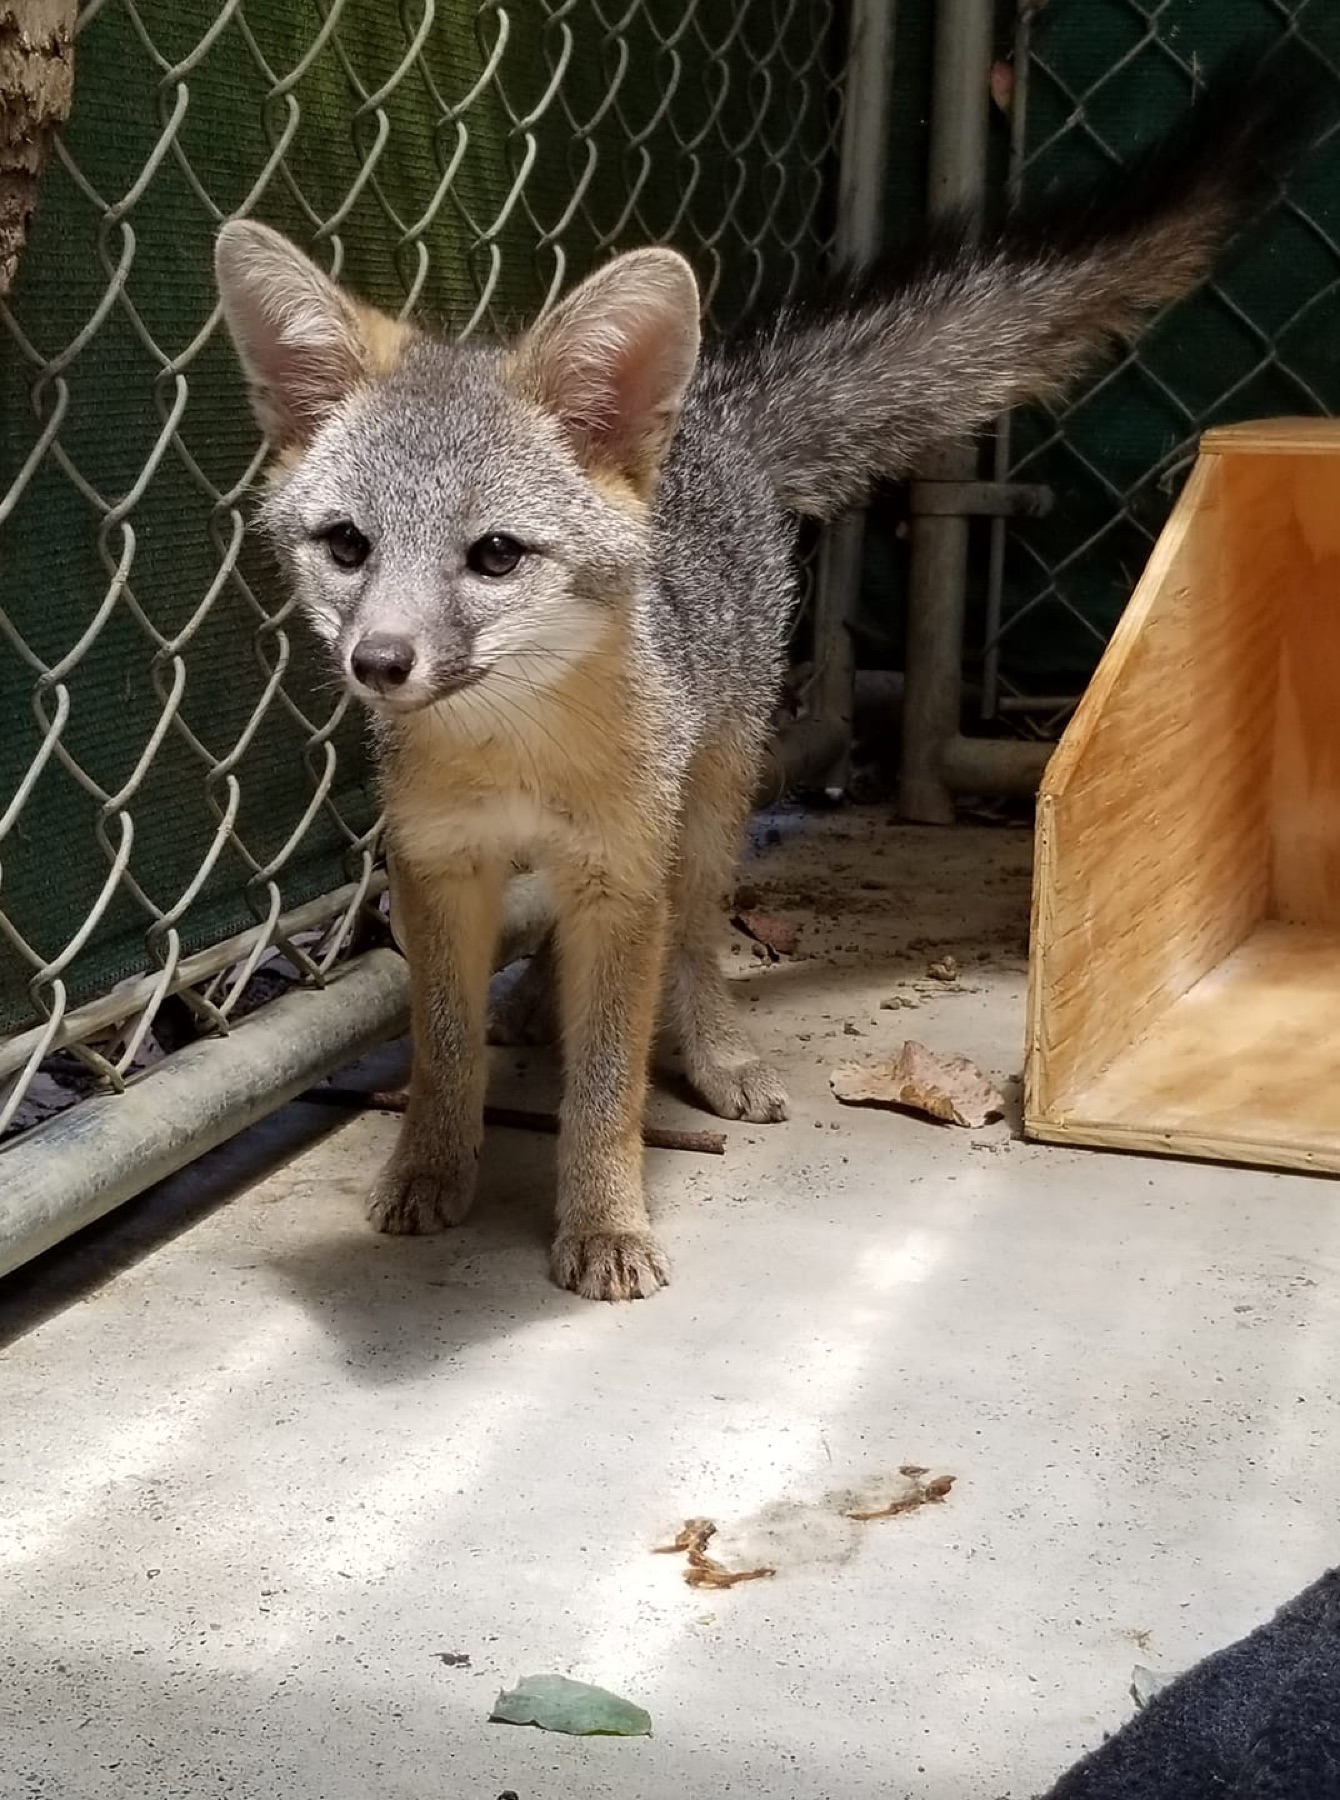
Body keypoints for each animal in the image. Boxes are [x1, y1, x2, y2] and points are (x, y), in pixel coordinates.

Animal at [215, 50, 1328, 1302]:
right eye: (346, 546)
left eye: (493, 556)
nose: (379, 662)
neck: (516, 758)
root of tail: (716, 413)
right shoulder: (437, 872)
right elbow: (444, 1049)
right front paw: (428, 1170)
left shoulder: (622, 877)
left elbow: (606, 1086)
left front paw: (603, 1222)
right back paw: (538, 1011)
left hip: (706, 816)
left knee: (698, 945)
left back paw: (714, 1054)